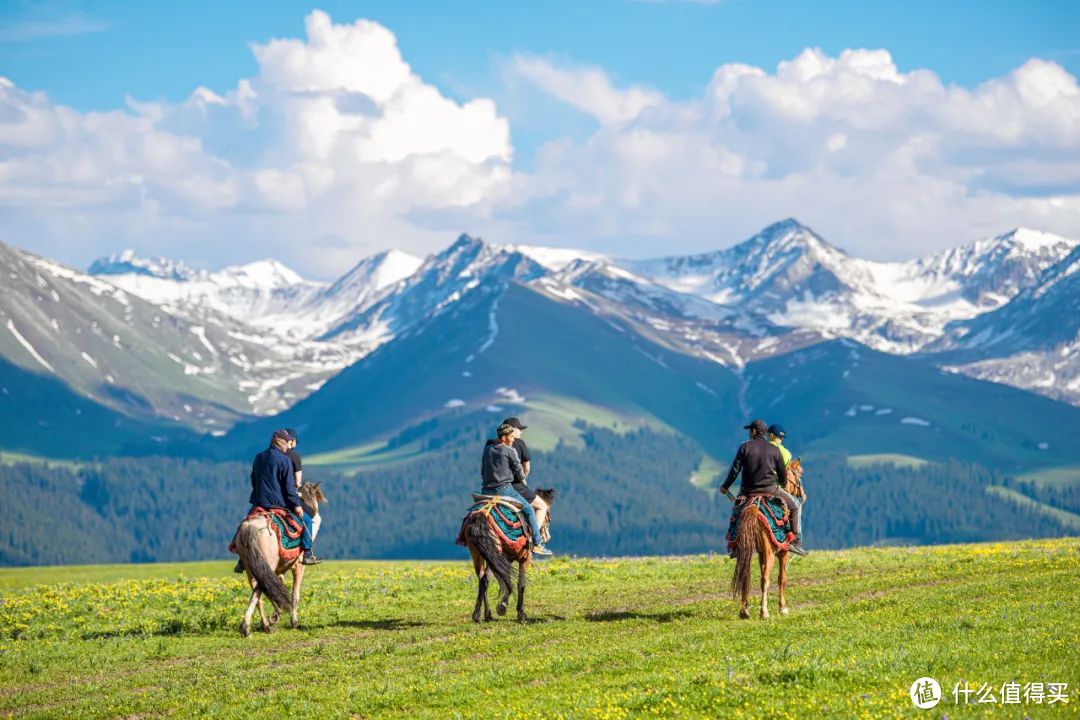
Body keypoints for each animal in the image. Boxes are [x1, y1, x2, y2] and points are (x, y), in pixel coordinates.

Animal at [464, 490, 557, 626]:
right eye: (548, 518)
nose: (548, 537)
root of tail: (482, 515)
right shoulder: (524, 558)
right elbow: (520, 583)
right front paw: (520, 614)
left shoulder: (507, 558)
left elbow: (506, 576)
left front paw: (502, 606)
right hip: (493, 552)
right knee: (486, 578)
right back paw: (478, 615)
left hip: (478, 554)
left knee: (482, 579)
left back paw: (485, 614)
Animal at [730, 462, 807, 621]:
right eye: (799, 475)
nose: (803, 495)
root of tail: (754, 507)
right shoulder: (783, 552)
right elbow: (781, 578)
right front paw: (783, 608)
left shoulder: (761, 555)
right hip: (770, 553)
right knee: (765, 579)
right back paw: (764, 612)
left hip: (745, 551)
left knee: (745, 576)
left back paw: (744, 611)